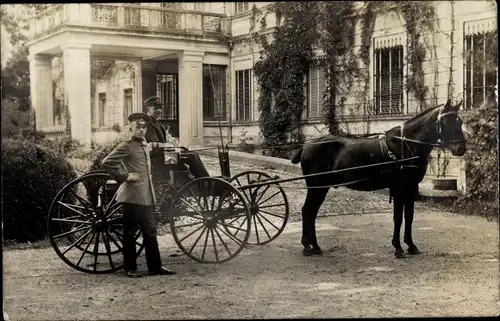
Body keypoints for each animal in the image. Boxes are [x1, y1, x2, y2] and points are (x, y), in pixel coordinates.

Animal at [292, 98, 466, 258]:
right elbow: (398, 218)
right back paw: (307, 246)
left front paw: (411, 245)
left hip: (321, 187)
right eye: (447, 121)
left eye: (460, 121)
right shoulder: (399, 188)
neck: (406, 145)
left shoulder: (411, 188)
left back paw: (314, 246)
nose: (461, 148)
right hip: (316, 186)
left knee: (312, 211)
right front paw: (398, 248)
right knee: (308, 211)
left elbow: (409, 217)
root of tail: (307, 145)